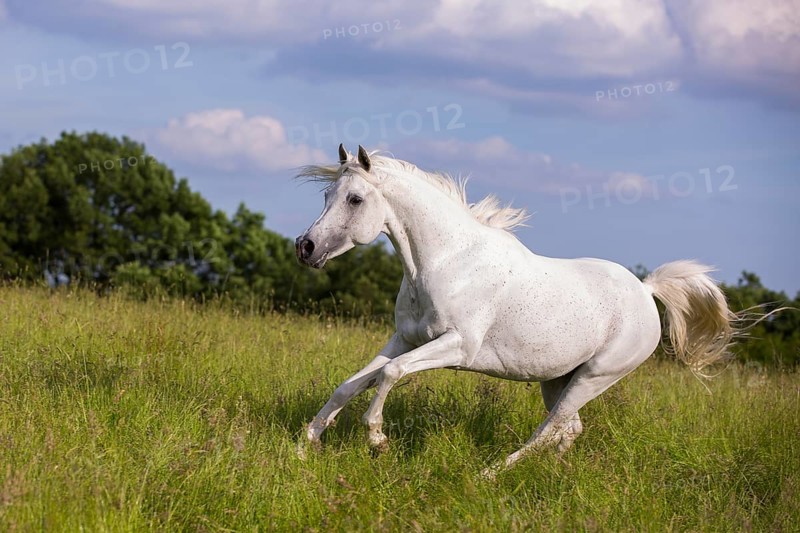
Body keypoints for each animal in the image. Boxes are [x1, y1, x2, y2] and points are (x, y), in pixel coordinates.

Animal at [294, 143, 735, 476]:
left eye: (355, 199)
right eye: (327, 196)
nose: (306, 247)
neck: (446, 262)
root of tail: (645, 290)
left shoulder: (457, 346)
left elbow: (391, 373)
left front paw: (378, 440)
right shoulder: (404, 338)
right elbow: (351, 383)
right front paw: (306, 444)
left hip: (595, 377)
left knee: (549, 430)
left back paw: (489, 474)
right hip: (558, 380)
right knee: (569, 429)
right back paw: (555, 472)